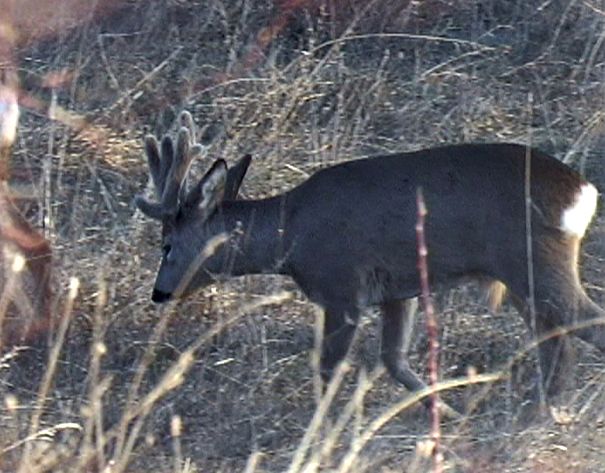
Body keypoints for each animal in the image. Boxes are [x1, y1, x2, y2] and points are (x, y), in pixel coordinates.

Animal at [134, 112, 600, 408]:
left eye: (167, 244)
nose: (159, 293)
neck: (291, 233)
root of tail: (582, 192)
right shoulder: (398, 291)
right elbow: (395, 361)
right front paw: (446, 417)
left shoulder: (342, 289)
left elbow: (327, 369)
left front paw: (320, 429)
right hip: (525, 277)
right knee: (557, 342)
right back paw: (539, 413)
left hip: (531, 259)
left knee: (585, 325)